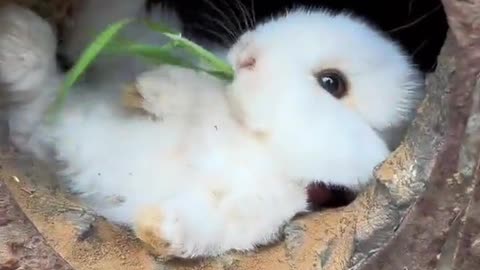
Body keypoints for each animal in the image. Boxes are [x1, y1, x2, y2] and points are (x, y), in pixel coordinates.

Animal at [0, 1, 424, 260]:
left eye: (331, 83)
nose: (248, 53)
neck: (254, 142)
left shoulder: (264, 210)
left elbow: (213, 226)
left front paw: (157, 230)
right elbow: (190, 88)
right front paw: (146, 90)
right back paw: (17, 36)